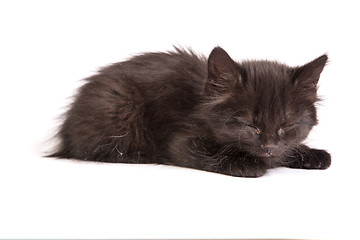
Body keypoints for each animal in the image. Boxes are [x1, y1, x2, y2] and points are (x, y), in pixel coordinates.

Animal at [48, 47, 332, 178]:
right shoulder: (180, 140)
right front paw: (249, 163)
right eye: (250, 125)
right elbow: (211, 152)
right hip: (118, 102)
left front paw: (312, 154)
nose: (270, 147)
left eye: (287, 125)